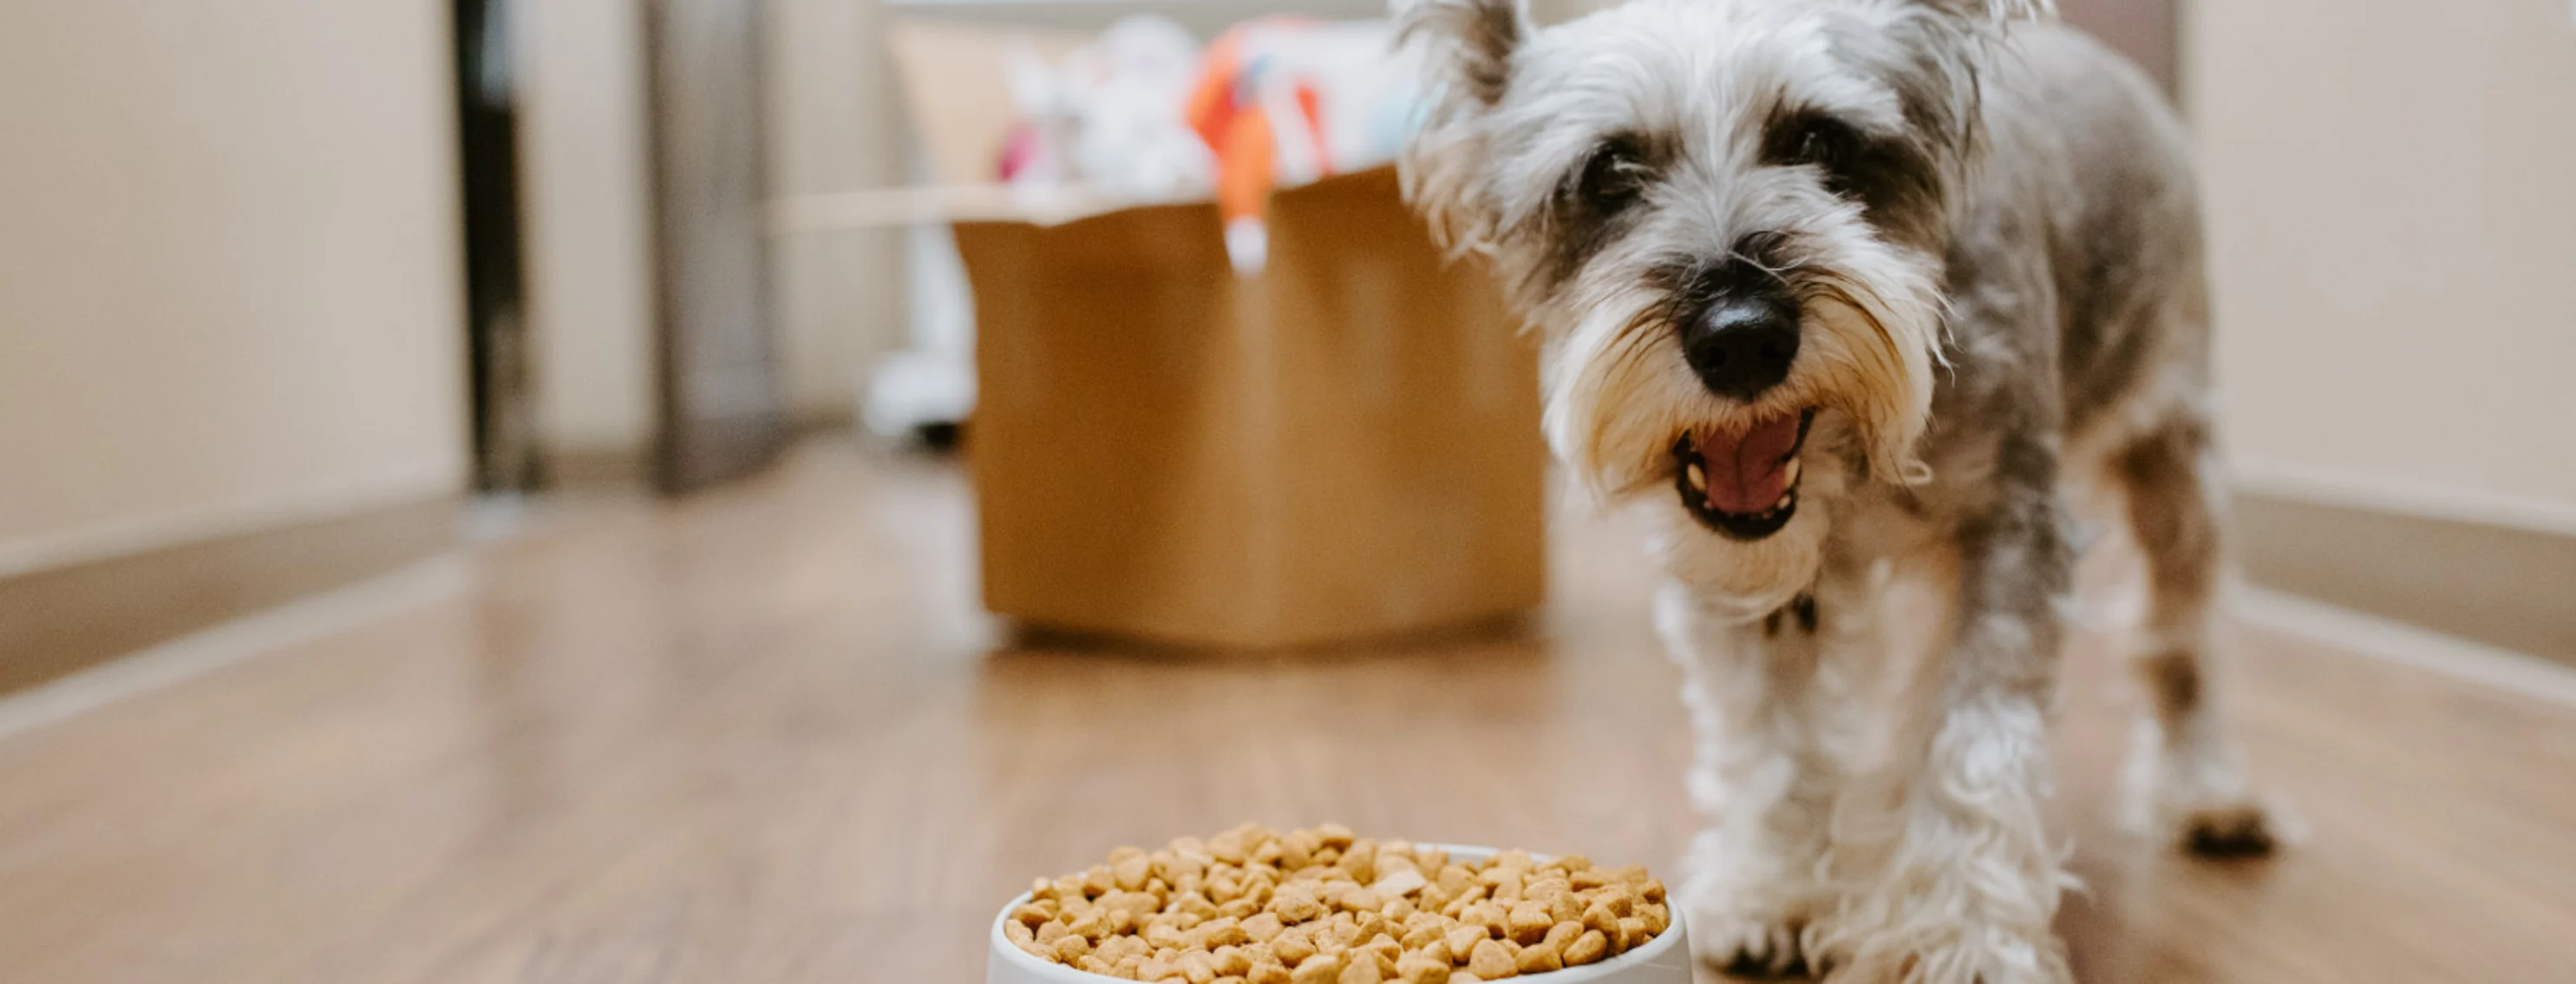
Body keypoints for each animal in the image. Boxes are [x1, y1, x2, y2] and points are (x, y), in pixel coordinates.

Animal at [1401, 2, 2287, 984]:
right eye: (1609, 171)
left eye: (1820, 139)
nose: (1742, 337)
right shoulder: (1742, 592)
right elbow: (1770, 747)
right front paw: (1772, 893)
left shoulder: (2008, 532)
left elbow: (1972, 744)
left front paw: (1966, 938)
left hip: (2177, 456)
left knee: (2181, 635)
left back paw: (2204, 792)